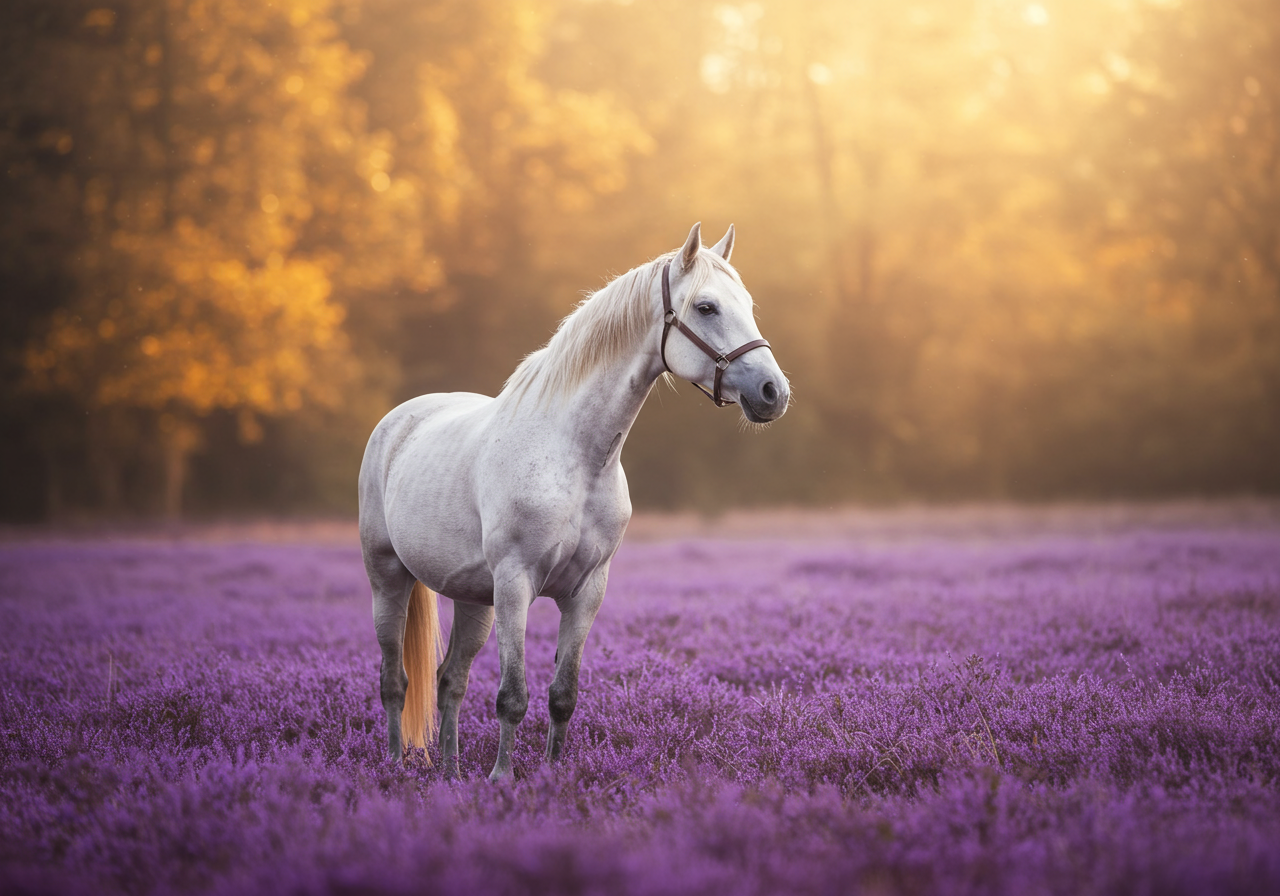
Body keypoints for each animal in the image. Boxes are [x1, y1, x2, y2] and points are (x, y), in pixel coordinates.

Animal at [357, 223, 790, 779]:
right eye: (706, 307)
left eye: (748, 305)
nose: (773, 392)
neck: (576, 457)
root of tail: (398, 420)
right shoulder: (515, 584)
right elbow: (512, 697)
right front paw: (502, 778)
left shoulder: (586, 591)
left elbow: (563, 695)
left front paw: (552, 775)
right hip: (388, 578)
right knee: (395, 680)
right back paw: (394, 765)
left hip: (472, 599)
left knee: (450, 680)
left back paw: (451, 773)